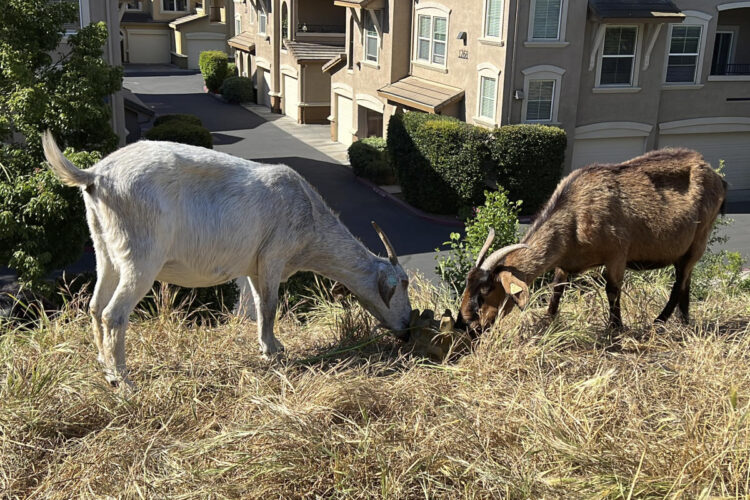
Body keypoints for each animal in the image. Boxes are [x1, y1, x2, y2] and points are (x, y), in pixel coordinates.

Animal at [42, 132, 412, 387]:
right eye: (403, 284)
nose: (406, 330)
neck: (310, 215)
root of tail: (95, 176)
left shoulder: (254, 265)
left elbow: (259, 304)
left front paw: (269, 345)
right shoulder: (274, 255)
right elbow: (271, 306)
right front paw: (273, 352)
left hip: (105, 247)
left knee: (94, 306)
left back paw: (104, 366)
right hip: (141, 253)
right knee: (113, 314)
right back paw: (123, 380)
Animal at [456, 148, 727, 334]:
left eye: (486, 292)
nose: (467, 323)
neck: (574, 214)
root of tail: (717, 178)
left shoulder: (618, 253)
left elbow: (613, 290)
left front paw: (615, 329)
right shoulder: (565, 262)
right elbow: (557, 289)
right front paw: (548, 321)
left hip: (700, 238)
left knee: (679, 283)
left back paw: (658, 322)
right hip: (685, 250)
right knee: (686, 281)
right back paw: (684, 321)